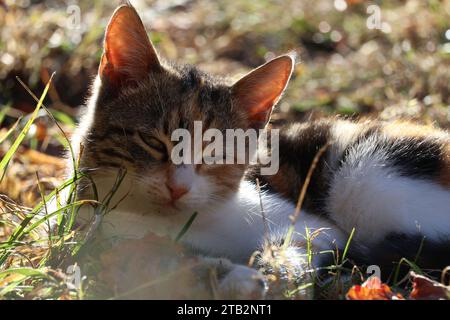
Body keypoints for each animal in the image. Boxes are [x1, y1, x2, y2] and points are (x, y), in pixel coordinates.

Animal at [67, 3, 450, 298]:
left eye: (216, 153)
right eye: (153, 142)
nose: (177, 188)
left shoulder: (316, 227)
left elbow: (304, 243)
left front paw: (274, 273)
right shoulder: (101, 241)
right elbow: (155, 266)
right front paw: (230, 276)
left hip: (365, 174)